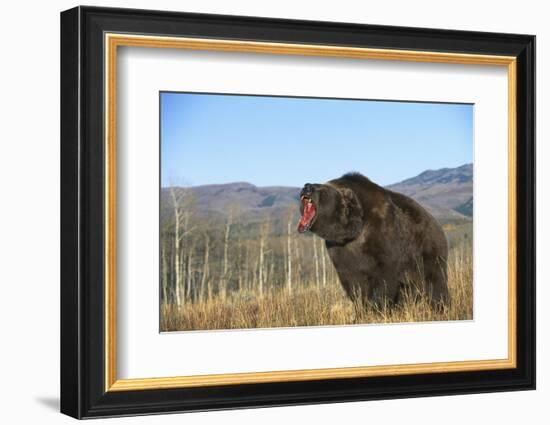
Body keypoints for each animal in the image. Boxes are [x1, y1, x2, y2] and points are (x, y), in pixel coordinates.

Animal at [300, 172, 450, 308]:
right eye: (320, 184)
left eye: (322, 189)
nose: (306, 187)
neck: (353, 232)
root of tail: (436, 223)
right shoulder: (340, 250)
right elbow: (353, 283)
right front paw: (361, 307)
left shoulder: (382, 237)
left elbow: (385, 277)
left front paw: (377, 305)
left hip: (426, 251)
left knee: (434, 282)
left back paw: (440, 305)